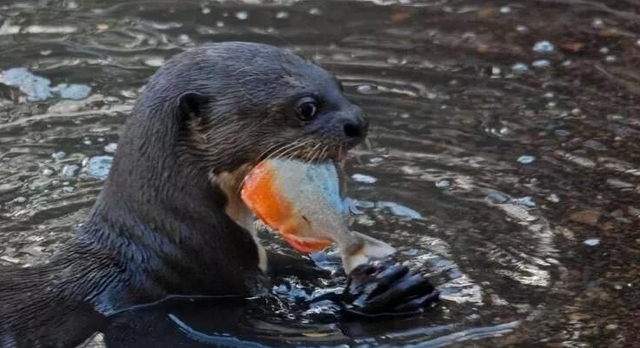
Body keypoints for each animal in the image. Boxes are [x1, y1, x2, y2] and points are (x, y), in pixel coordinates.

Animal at [0, 42, 436, 346]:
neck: (175, 236)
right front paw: (385, 292)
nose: (359, 122)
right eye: (307, 107)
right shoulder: (213, 278)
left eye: (339, 85)